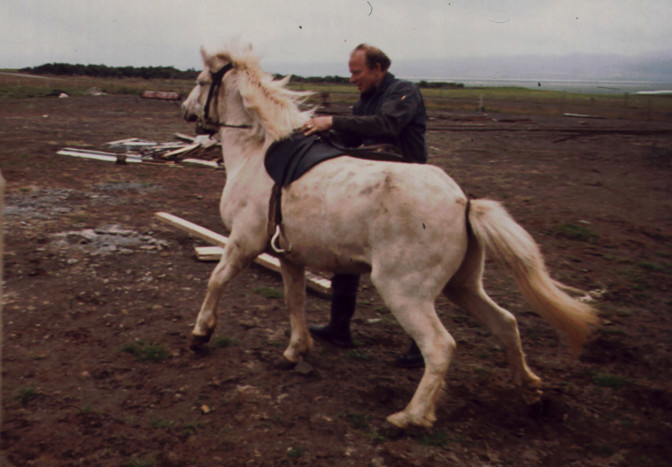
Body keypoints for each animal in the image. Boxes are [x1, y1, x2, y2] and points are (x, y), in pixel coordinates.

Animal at [181, 43, 599, 429]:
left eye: (201, 81)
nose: (186, 111)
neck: (258, 153)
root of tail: (463, 202)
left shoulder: (245, 241)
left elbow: (216, 280)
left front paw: (200, 334)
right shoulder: (289, 256)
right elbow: (294, 302)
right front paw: (295, 352)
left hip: (403, 290)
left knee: (440, 346)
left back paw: (410, 417)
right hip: (462, 286)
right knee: (506, 324)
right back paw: (531, 392)